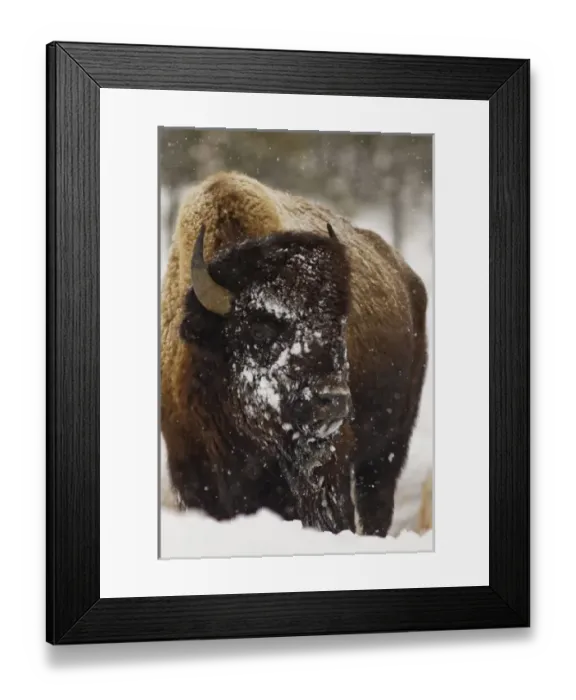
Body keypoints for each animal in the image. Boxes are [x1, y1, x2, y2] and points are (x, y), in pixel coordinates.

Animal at [161, 171, 428, 538]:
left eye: (337, 324)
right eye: (260, 329)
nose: (333, 401)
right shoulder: (193, 475)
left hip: (390, 446)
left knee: (376, 502)